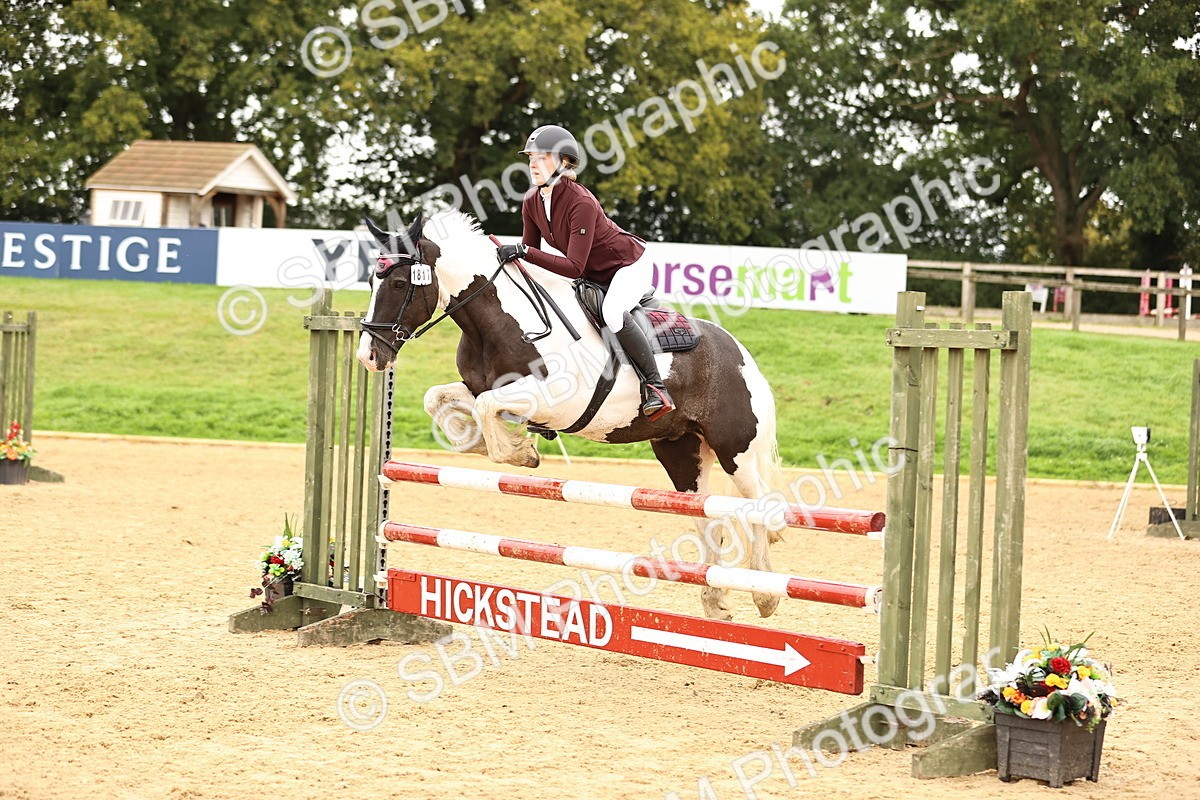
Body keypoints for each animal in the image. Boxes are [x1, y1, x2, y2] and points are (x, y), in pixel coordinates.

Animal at [356, 209, 784, 620]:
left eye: (398, 284)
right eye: (372, 280)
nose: (368, 356)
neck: (500, 319)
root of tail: (741, 354)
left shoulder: (552, 399)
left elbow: (485, 408)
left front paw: (520, 452)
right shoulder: (480, 387)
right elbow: (441, 400)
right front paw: (495, 445)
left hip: (735, 450)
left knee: (758, 507)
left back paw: (765, 594)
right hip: (680, 452)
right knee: (708, 518)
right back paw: (716, 601)